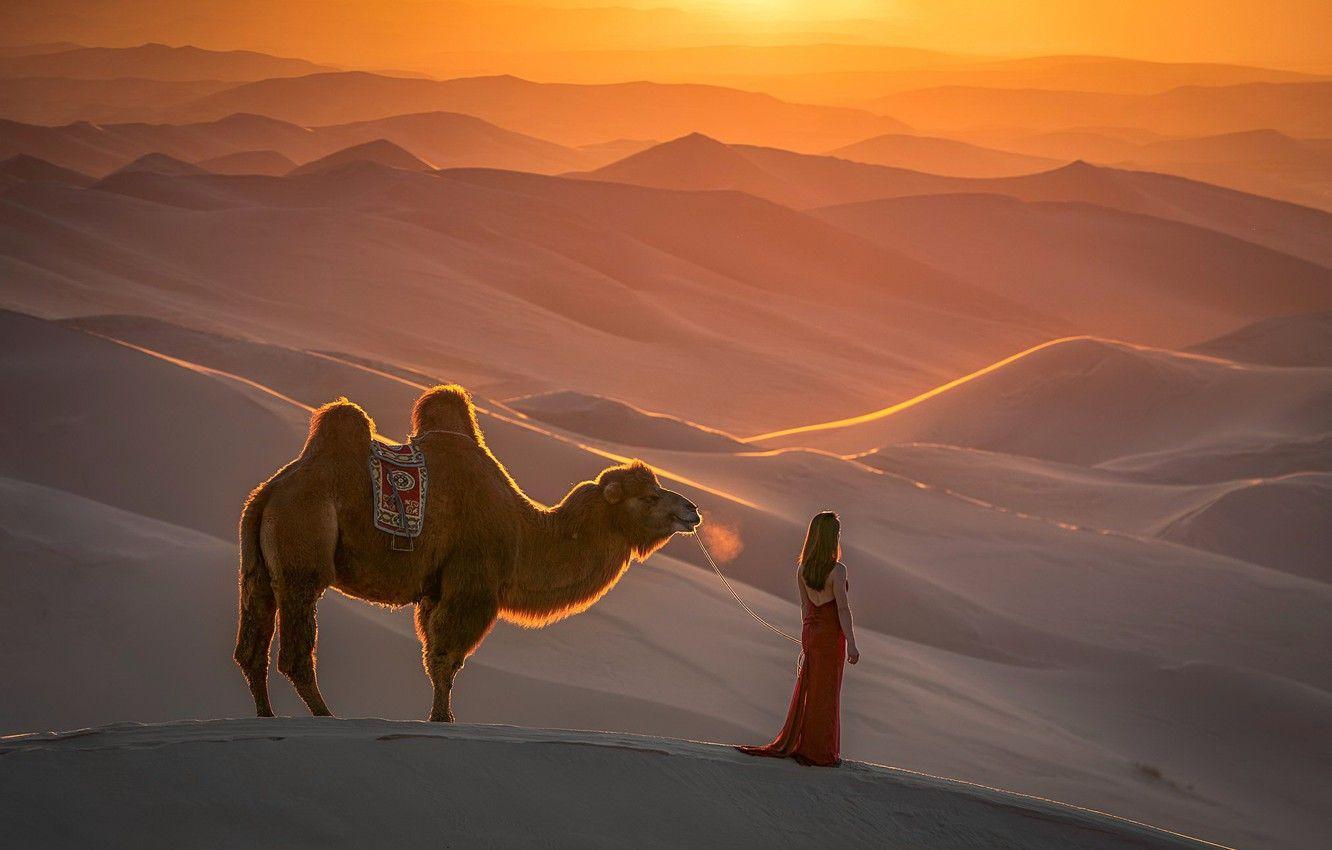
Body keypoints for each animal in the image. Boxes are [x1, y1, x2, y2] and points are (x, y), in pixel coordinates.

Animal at [233, 384, 701, 721]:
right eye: (651, 497)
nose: (691, 510)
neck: (522, 532)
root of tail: (269, 493)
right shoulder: (471, 584)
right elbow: (446, 657)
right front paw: (442, 720)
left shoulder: (435, 589)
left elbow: (436, 655)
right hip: (303, 546)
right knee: (295, 652)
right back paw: (326, 716)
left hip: (257, 567)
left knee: (251, 648)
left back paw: (265, 716)